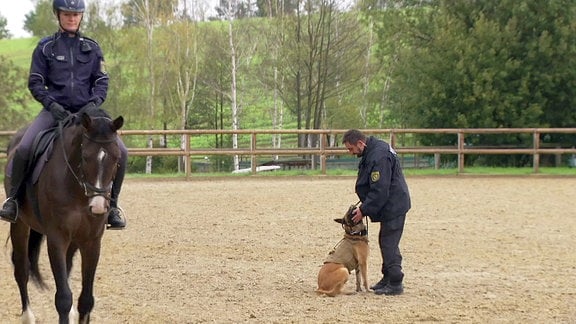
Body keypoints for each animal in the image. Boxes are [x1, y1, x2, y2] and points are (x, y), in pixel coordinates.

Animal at [4, 107, 124, 322]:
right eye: (85, 156)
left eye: (117, 158)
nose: (98, 207)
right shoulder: (57, 239)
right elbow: (63, 297)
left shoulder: (91, 241)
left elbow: (86, 300)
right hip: (19, 224)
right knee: (21, 268)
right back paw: (28, 316)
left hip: (74, 239)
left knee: (66, 268)